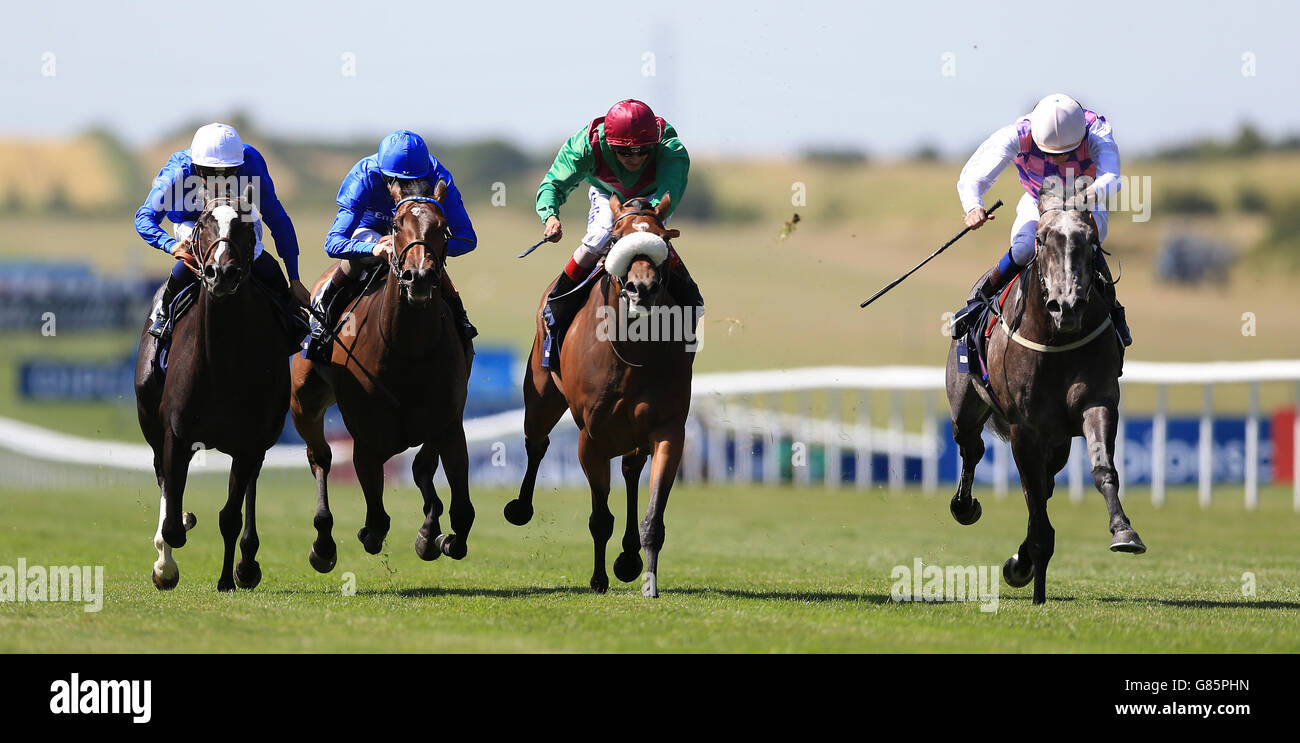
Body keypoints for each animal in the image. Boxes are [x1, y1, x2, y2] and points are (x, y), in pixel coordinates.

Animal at [135, 185, 292, 592]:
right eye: (203, 223)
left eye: (246, 225)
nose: (221, 273)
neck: (221, 361)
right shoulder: (177, 434)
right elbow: (173, 522)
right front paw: (167, 563)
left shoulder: (250, 442)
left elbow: (230, 516)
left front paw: (229, 577)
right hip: (153, 425)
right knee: (164, 481)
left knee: (248, 490)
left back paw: (247, 563)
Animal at [288, 180, 473, 574]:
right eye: (396, 225)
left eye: (443, 227)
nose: (419, 277)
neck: (407, 348)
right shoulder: (366, 440)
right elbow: (376, 522)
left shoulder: (449, 423)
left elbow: (458, 506)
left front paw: (435, 536)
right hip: (303, 401)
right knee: (320, 457)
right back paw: (323, 543)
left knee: (420, 469)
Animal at [501, 196, 696, 597]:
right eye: (616, 237)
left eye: (662, 240)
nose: (641, 288)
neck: (634, 353)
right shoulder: (591, 438)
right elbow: (600, 518)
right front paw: (598, 579)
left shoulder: (668, 430)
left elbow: (653, 516)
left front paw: (648, 581)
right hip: (541, 395)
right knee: (537, 443)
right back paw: (521, 508)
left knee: (631, 471)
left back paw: (629, 557)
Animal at [946, 185, 1149, 602]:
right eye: (1041, 239)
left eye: (1090, 242)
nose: (1066, 305)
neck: (1057, 339)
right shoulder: (1024, 429)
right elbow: (1033, 497)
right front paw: (1029, 562)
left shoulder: (1097, 401)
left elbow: (1102, 469)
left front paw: (1124, 530)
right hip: (966, 408)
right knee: (972, 449)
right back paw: (965, 507)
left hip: (1057, 442)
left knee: (1046, 482)